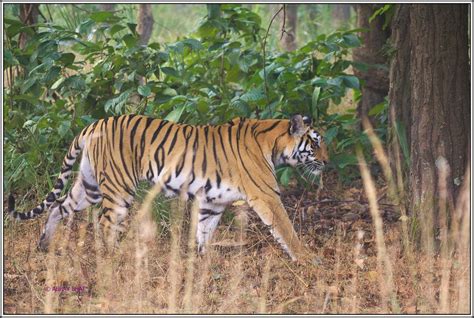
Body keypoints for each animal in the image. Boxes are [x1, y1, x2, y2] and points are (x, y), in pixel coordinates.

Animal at [9, 114, 330, 260]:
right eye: (315, 143)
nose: (328, 162)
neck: (274, 143)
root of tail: (94, 124)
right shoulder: (267, 195)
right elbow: (286, 230)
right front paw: (307, 258)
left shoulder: (213, 202)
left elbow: (204, 231)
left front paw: (203, 261)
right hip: (118, 189)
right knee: (103, 222)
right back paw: (112, 258)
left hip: (89, 186)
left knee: (58, 206)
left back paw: (44, 245)